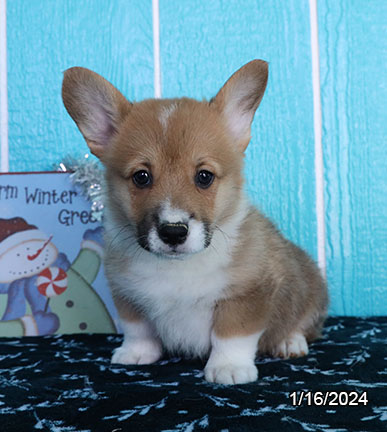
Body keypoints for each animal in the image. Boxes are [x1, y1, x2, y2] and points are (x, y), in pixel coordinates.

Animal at [62, 58, 328, 384]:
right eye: (141, 177)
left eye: (204, 176)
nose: (173, 232)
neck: (177, 268)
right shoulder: (126, 293)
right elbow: (137, 328)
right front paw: (136, 353)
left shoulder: (249, 294)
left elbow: (232, 333)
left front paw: (228, 367)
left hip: (309, 291)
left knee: (303, 324)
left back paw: (289, 341)